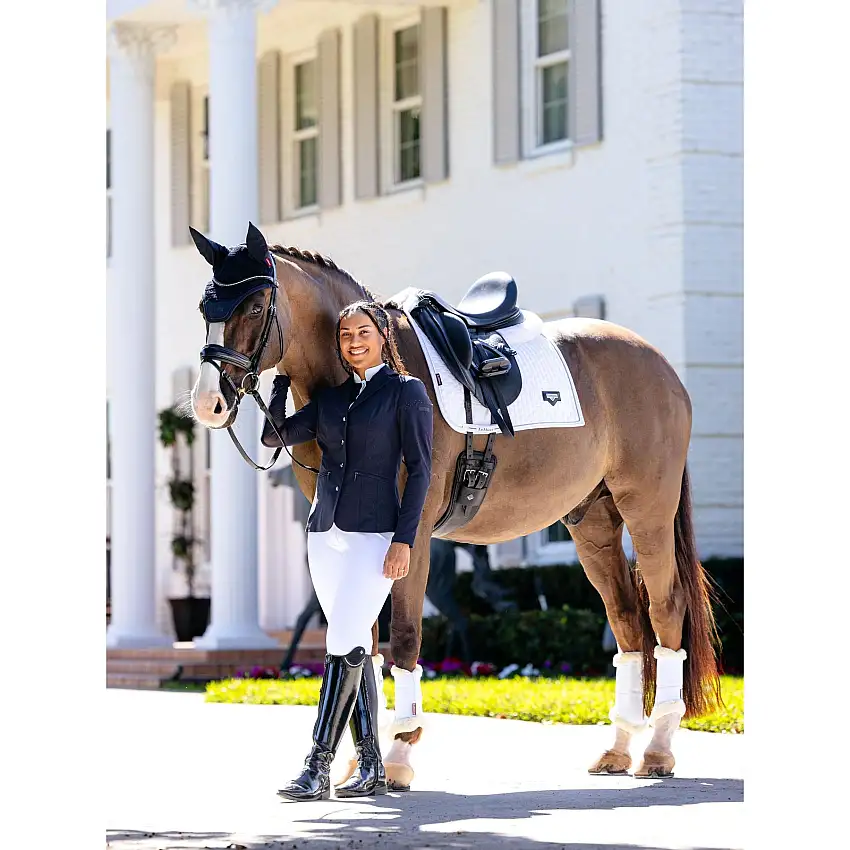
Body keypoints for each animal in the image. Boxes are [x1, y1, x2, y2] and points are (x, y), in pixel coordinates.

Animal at [190, 224, 721, 785]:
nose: (208, 404)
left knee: (665, 609)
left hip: (647, 510)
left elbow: (403, 638)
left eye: (254, 305)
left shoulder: (412, 537)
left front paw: (398, 756)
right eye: (205, 307)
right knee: (625, 618)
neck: (357, 387)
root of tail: (658, 363)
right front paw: (360, 763)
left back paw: (658, 747)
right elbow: (362, 644)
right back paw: (619, 746)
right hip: (592, 521)